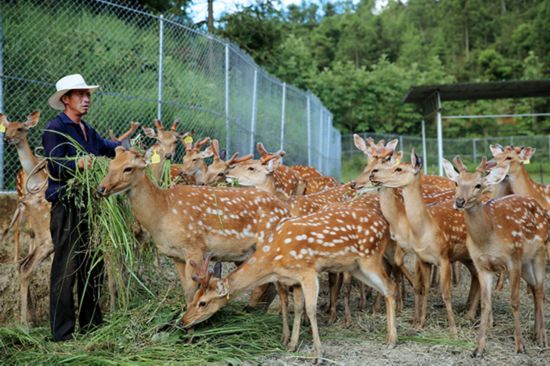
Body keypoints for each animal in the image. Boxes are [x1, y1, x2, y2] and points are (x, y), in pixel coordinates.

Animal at [97, 147, 292, 304]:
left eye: (128, 168)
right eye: (111, 164)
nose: (101, 189)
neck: (162, 211)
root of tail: (286, 211)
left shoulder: (194, 248)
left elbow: (192, 292)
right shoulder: (175, 255)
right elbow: (186, 291)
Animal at [183, 203, 398, 364]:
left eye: (203, 303)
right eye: (193, 299)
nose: (183, 321)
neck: (273, 260)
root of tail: (386, 225)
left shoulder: (308, 271)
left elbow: (311, 310)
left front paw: (318, 355)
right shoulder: (293, 280)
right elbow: (299, 308)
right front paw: (292, 345)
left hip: (370, 257)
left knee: (390, 286)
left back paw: (392, 341)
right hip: (355, 267)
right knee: (386, 288)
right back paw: (387, 337)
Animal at [370, 149, 484, 334]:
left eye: (399, 168)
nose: (373, 173)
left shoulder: (444, 258)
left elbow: (445, 293)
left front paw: (453, 329)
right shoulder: (424, 259)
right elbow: (425, 287)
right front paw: (420, 323)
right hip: (466, 256)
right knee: (477, 276)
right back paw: (470, 313)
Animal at [446, 156, 548, 356]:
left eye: (478, 185)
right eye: (456, 182)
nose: (459, 201)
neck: (488, 239)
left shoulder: (513, 260)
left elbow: (514, 301)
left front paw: (519, 346)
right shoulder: (482, 266)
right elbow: (486, 304)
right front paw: (478, 349)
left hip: (539, 253)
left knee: (540, 289)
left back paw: (541, 339)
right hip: (526, 263)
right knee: (534, 288)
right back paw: (534, 334)